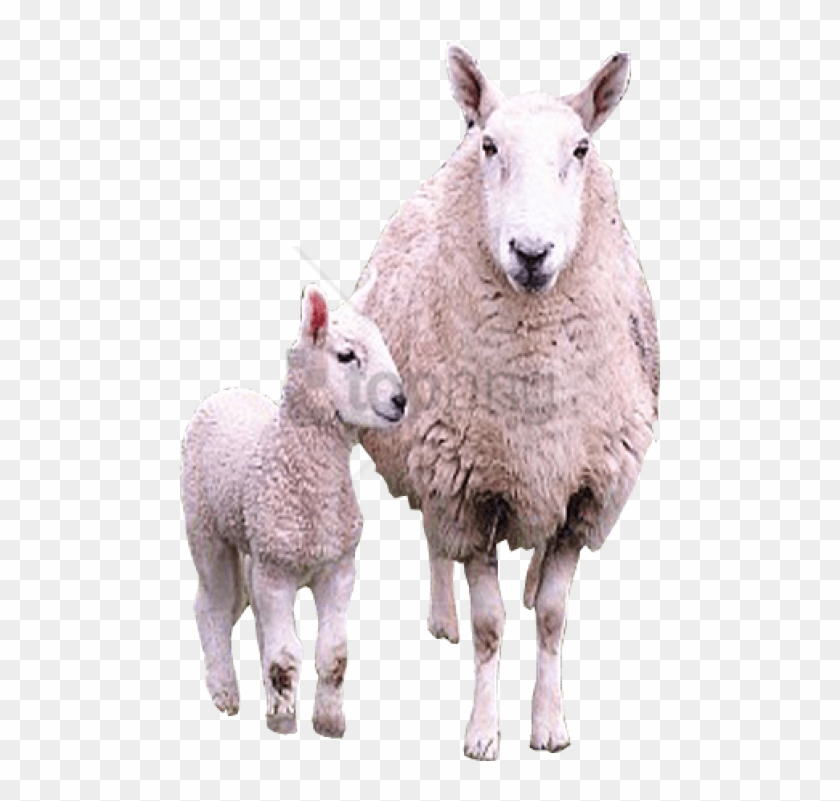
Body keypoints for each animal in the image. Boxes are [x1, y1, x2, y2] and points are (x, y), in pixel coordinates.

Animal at [181, 283, 406, 737]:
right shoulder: (277, 573)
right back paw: (224, 690)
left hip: (255, 539)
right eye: (346, 355)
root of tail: (228, 393)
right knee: (212, 603)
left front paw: (329, 721)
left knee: (246, 609)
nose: (400, 401)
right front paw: (284, 721)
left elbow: (334, 654)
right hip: (205, 527)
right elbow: (285, 657)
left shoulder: (337, 568)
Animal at [357, 46, 659, 759]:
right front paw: (483, 732)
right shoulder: (467, 488)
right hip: (428, 458)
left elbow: (552, 615)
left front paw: (549, 724)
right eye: (492, 146)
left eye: (581, 148)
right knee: (433, 536)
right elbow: (489, 625)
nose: (531, 253)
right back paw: (443, 618)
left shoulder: (586, 491)